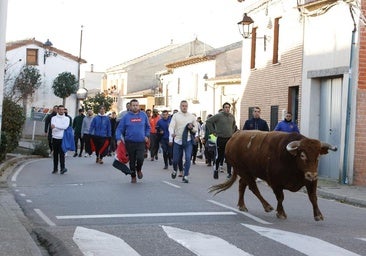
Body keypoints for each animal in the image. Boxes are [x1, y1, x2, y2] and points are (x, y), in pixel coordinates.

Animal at [209, 131, 338, 221]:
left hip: (248, 172)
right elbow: (280, 197)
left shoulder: (311, 182)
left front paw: (318, 215)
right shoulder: (275, 183)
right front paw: (281, 213)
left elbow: (313, 197)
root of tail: (235, 136)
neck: (291, 159)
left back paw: (242, 205)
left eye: (318, 156)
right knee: (253, 188)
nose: (312, 174)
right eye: (302, 155)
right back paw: (267, 206)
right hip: (243, 171)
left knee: (242, 185)